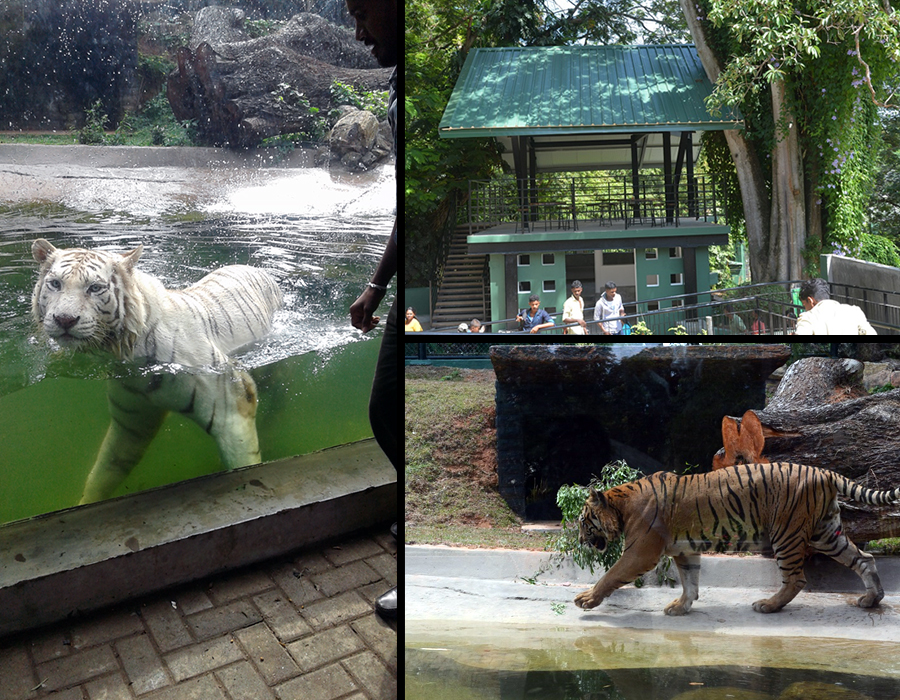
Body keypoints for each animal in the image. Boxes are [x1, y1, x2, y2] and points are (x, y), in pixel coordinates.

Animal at [32, 239, 282, 504]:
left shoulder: (231, 403)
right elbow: (103, 472)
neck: (125, 349)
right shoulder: (131, 422)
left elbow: (245, 463)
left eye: (95, 287)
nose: (64, 319)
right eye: (56, 283)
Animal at [572, 462, 896, 616]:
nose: (579, 542)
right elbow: (690, 582)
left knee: (796, 579)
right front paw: (681, 607)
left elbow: (611, 575)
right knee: (864, 559)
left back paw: (768, 605)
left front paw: (586, 599)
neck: (621, 504)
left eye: (585, 522)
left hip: (787, 533)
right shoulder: (685, 551)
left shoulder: (640, 552)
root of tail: (825, 472)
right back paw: (871, 599)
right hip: (826, 533)